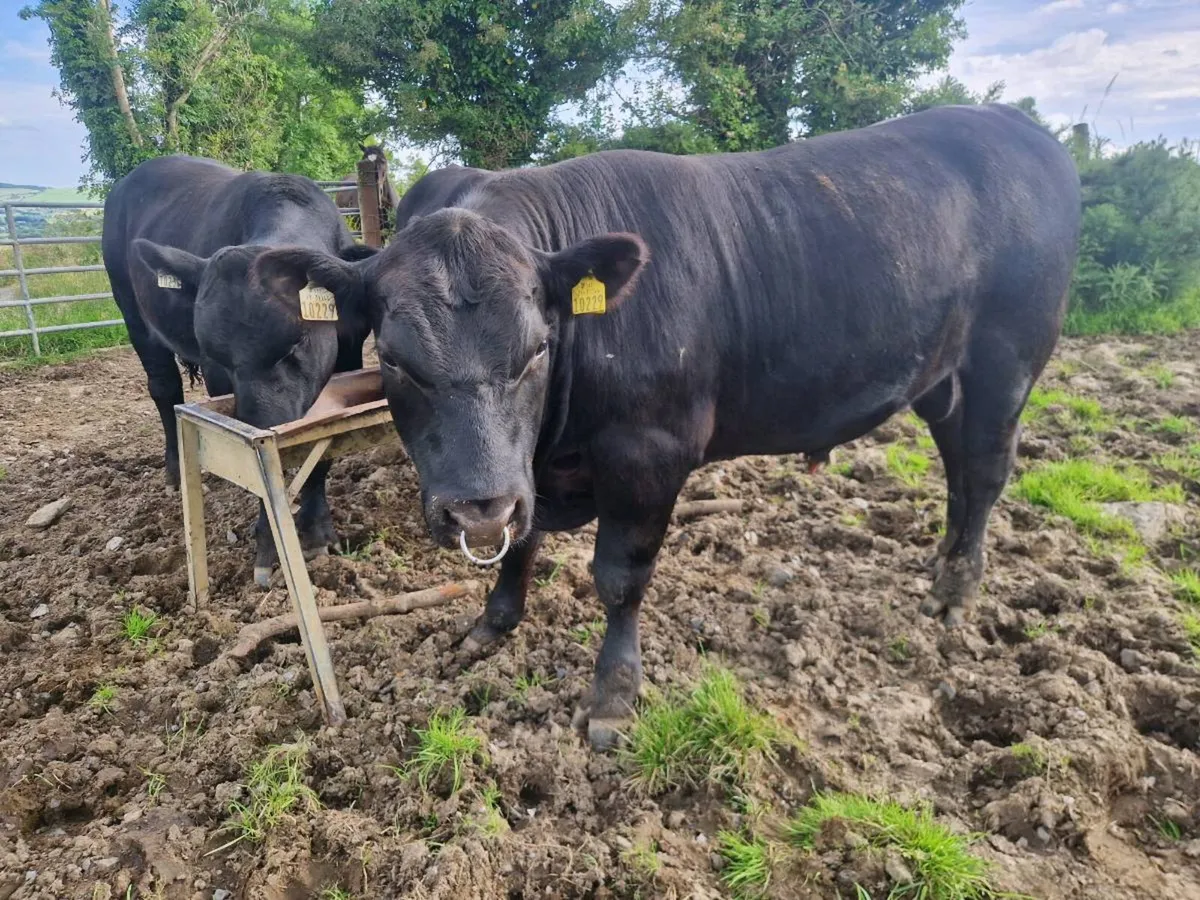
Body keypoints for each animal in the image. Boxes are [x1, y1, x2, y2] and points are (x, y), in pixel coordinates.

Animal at [102, 154, 378, 587]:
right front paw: (269, 543)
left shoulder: (349, 354)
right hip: (133, 315)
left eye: (296, 341)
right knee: (163, 389)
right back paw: (174, 472)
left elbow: (324, 442)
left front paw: (317, 531)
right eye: (217, 355)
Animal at [250, 104, 1082, 750]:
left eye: (538, 348)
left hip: (1007, 361)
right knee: (958, 468)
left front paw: (613, 698)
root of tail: (1016, 126)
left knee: (985, 469)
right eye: (393, 359)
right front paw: (492, 625)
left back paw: (956, 595)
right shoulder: (529, 474)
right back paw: (943, 575)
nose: (474, 505)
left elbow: (620, 577)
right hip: (942, 378)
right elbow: (523, 544)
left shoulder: (649, 454)